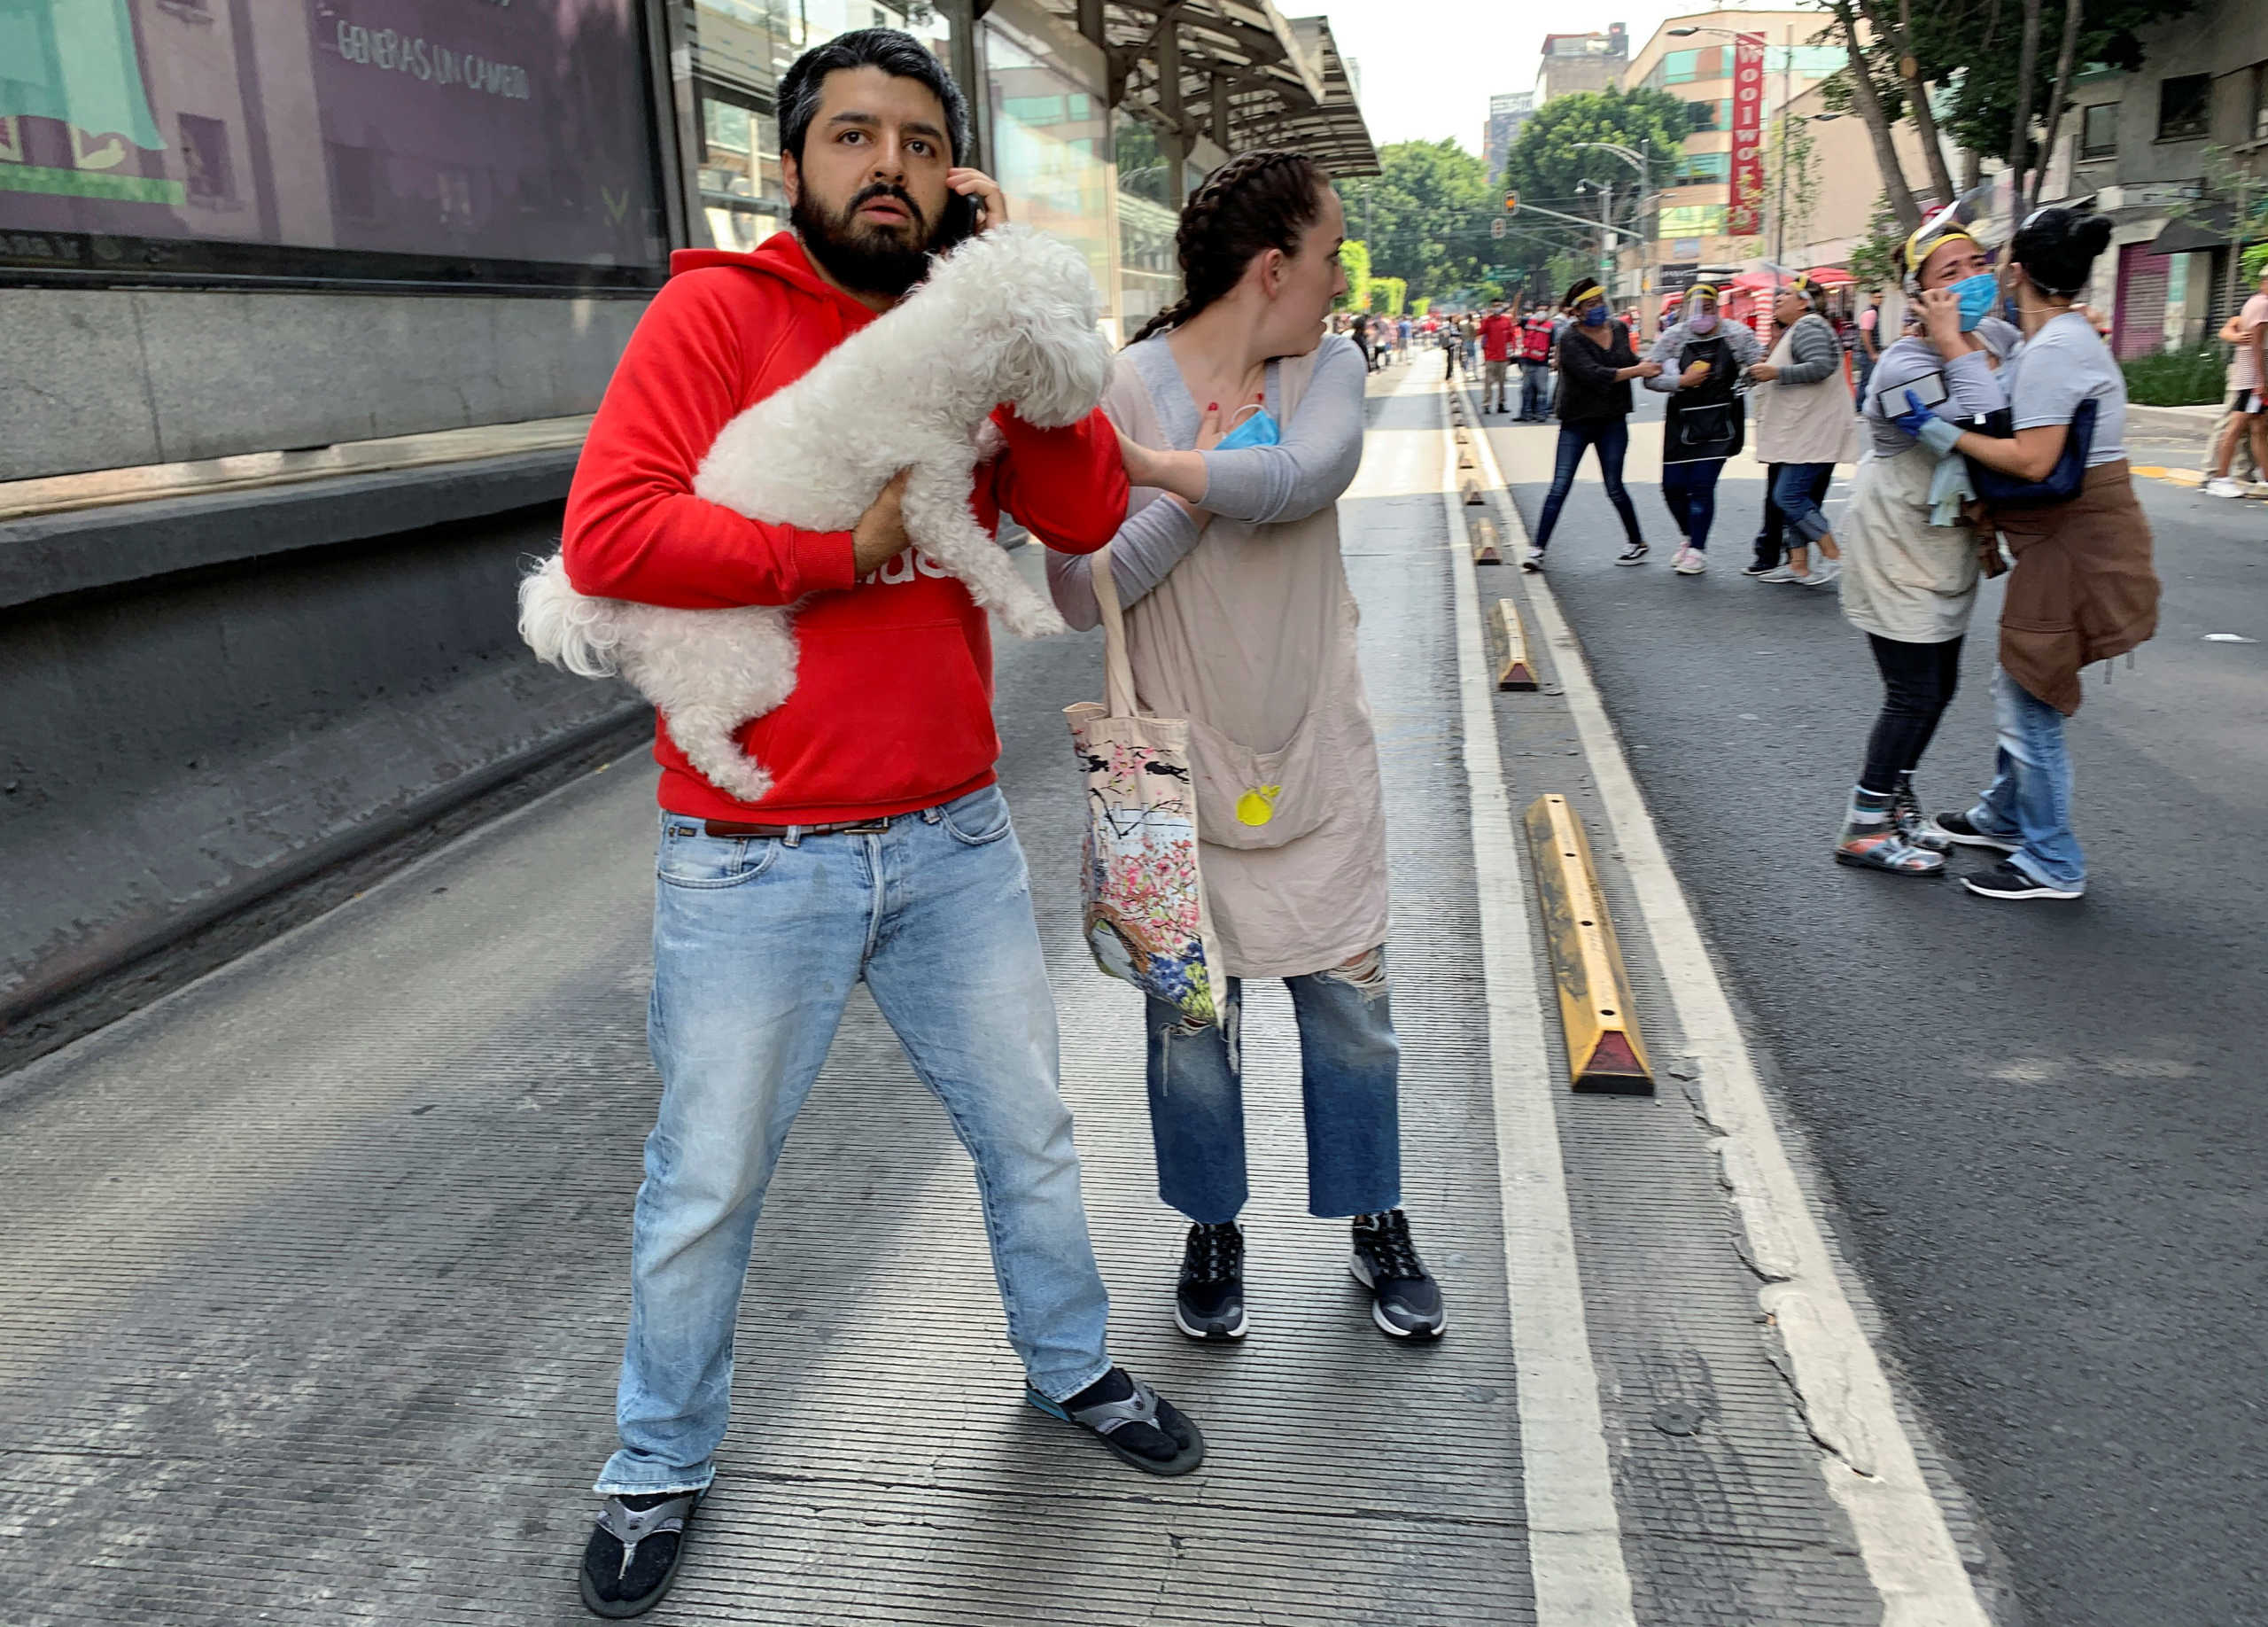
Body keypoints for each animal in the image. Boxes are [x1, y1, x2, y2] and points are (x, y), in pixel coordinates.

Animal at [517, 225, 1115, 803]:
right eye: (1087, 315)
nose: (1107, 355)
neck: (937, 358)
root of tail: (613, 611)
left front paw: (992, 439)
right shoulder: (929, 503)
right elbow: (986, 561)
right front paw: (1031, 614)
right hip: (746, 663)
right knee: (695, 727)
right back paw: (745, 781)